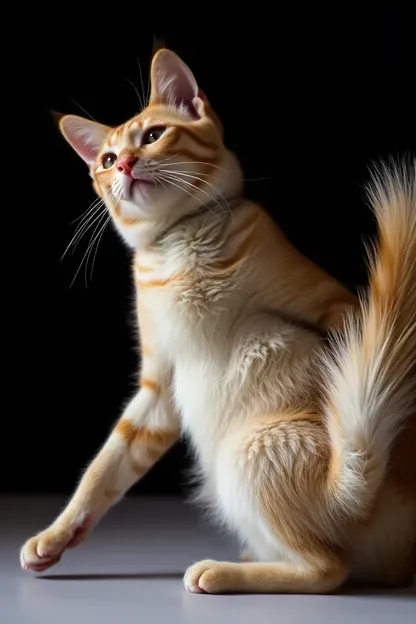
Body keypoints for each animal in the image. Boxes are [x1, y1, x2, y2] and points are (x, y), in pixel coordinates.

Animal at [20, 50, 416, 596]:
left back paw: (223, 570)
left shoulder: (341, 309)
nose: (126, 164)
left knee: (328, 568)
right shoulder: (159, 385)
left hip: (250, 450)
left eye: (152, 135)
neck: (179, 245)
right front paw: (57, 535)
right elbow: (104, 468)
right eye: (106, 160)